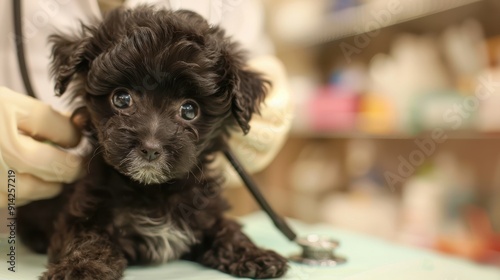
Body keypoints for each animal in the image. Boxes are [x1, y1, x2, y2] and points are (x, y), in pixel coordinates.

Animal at [15, 4, 288, 280]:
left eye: (189, 110)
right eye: (122, 99)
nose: (150, 148)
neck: (153, 190)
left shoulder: (204, 209)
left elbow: (225, 227)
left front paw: (254, 254)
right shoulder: (83, 211)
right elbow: (87, 238)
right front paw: (79, 268)